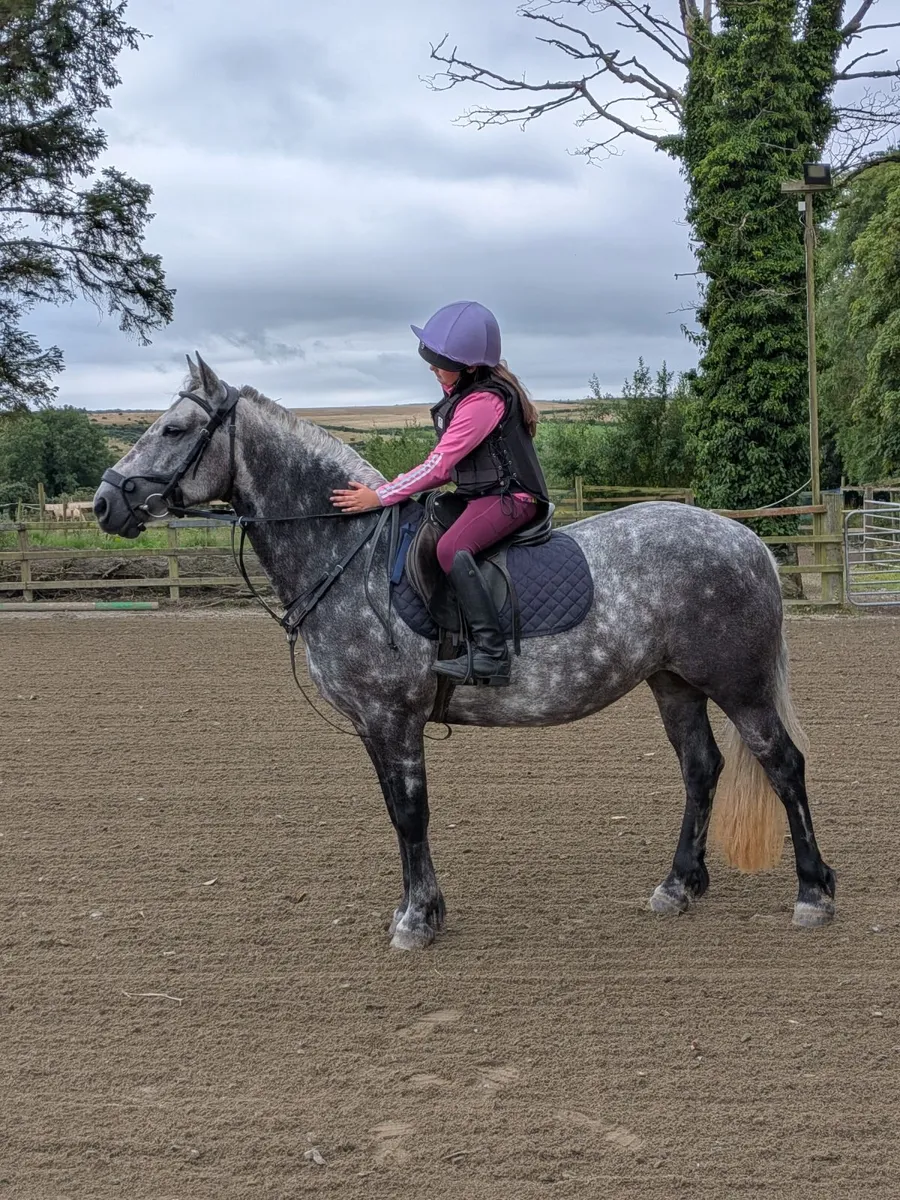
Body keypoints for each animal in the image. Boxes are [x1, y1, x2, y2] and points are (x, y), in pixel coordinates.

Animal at [92, 355, 836, 950]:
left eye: (174, 430)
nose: (103, 503)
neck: (346, 552)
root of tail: (745, 539)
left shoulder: (392, 718)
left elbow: (410, 813)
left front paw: (418, 920)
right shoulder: (374, 725)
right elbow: (398, 816)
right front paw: (415, 909)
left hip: (738, 685)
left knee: (784, 765)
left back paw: (813, 893)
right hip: (674, 682)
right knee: (701, 769)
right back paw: (679, 885)